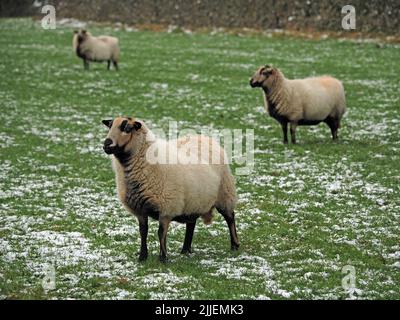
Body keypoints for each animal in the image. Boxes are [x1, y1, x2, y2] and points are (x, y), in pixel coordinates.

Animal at [101, 116, 239, 262]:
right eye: (110, 126)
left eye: (127, 128)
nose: (106, 144)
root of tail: (205, 138)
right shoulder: (140, 210)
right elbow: (143, 232)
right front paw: (142, 257)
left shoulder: (166, 207)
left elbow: (161, 233)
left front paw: (163, 258)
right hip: (194, 200)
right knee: (191, 223)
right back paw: (185, 250)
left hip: (224, 194)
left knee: (230, 217)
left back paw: (235, 245)